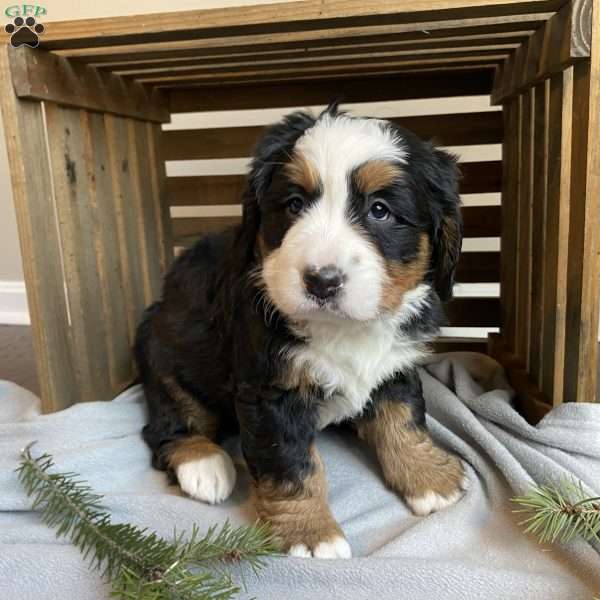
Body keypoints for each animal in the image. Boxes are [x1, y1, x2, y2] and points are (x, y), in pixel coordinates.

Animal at [135, 103, 464, 556]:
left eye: (380, 210)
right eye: (293, 204)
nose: (321, 281)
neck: (343, 330)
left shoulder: (394, 365)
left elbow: (403, 421)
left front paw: (429, 478)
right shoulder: (271, 392)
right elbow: (291, 463)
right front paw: (310, 533)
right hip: (164, 354)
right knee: (169, 423)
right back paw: (204, 466)